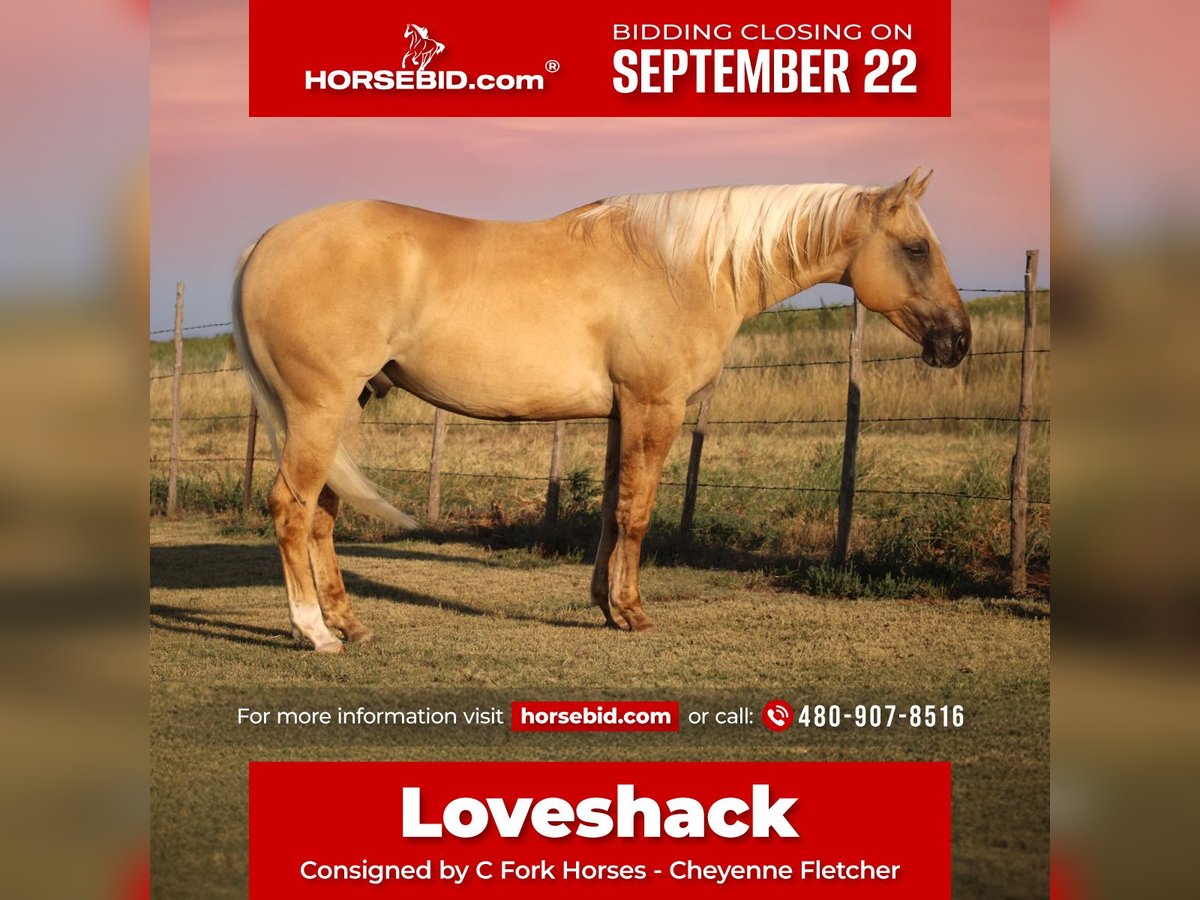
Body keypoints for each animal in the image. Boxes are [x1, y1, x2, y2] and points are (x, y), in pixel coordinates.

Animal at [232, 170, 971, 652]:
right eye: (916, 248)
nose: (958, 341)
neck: (685, 267)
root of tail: (263, 243)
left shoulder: (623, 413)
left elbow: (615, 508)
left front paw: (606, 605)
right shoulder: (655, 406)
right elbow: (637, 513)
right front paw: (633, 612)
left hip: (339, 412)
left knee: (321, 513)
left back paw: (349, 624)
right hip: (319, 410)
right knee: (290, 508)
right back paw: (314, 632)